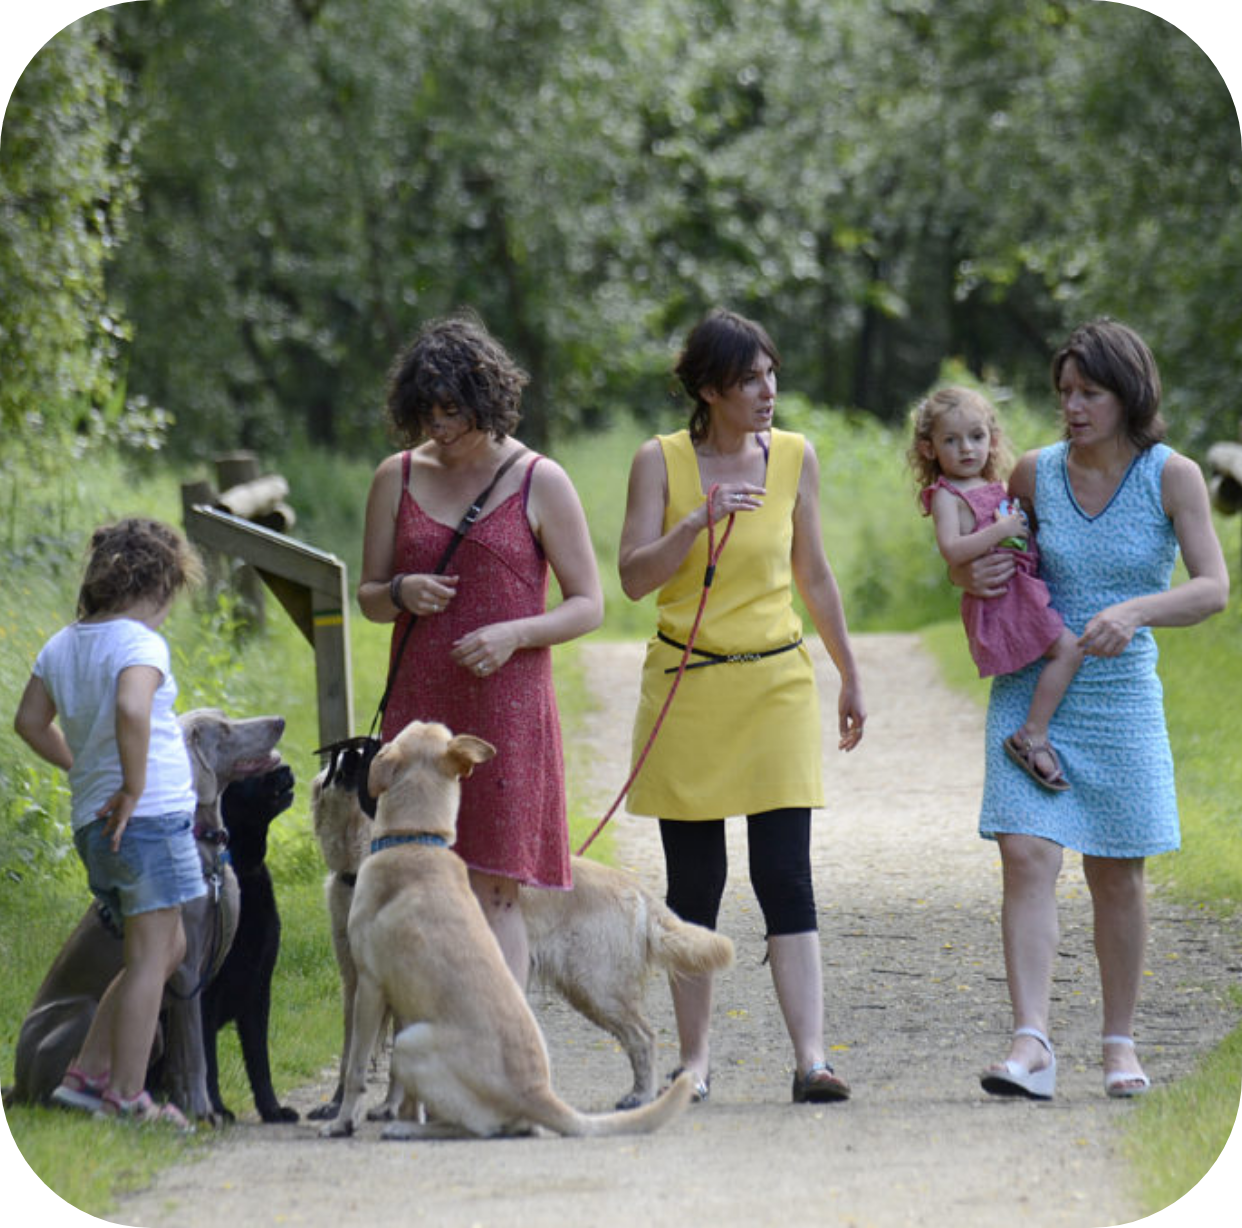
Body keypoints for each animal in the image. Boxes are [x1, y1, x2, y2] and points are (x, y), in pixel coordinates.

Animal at [206, 764, 300, 1122]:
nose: (286, 767)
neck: (241, 870)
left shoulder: (259, 987)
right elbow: (208, 1062)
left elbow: (259, 1060)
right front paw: (216, 1109)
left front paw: (272, 1109)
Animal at [310, 735, 730, 1117]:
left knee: (644, 1037)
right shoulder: (355, 980)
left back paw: (640, 1097)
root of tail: (636, 889)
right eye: (341, 759)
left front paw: (388, 1108)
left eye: (365, 754)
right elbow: (350, 1052)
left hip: (597, 986)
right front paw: (339, 1105)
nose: (344, 759)